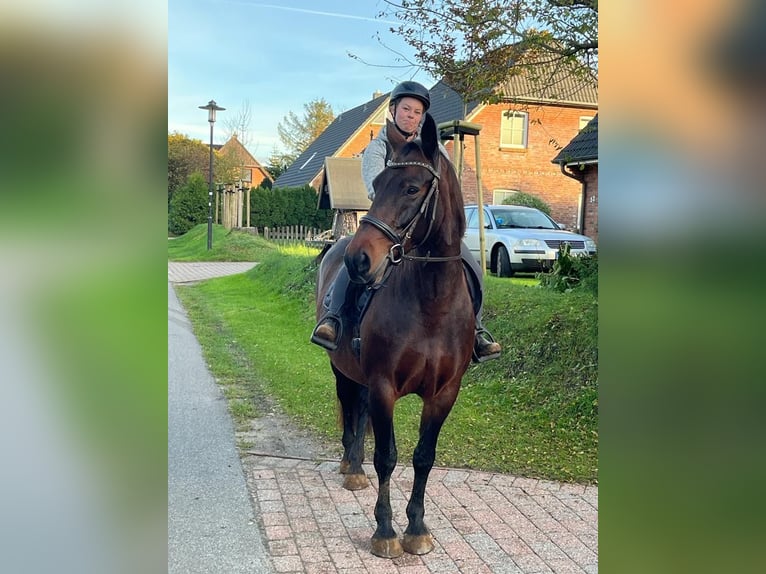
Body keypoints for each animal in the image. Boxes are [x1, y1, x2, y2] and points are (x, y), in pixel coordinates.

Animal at [316, 112, 474, 560]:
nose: (359, 260)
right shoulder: (384, 385)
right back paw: (351, 467)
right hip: (342, 369)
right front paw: (385, 531)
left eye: (411, 188)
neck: (431, 304)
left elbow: (423, 458)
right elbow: (387, 457)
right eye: (379, 183)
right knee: (350, 408)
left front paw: (417, 528)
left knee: (358, 410)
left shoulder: (444, 393)